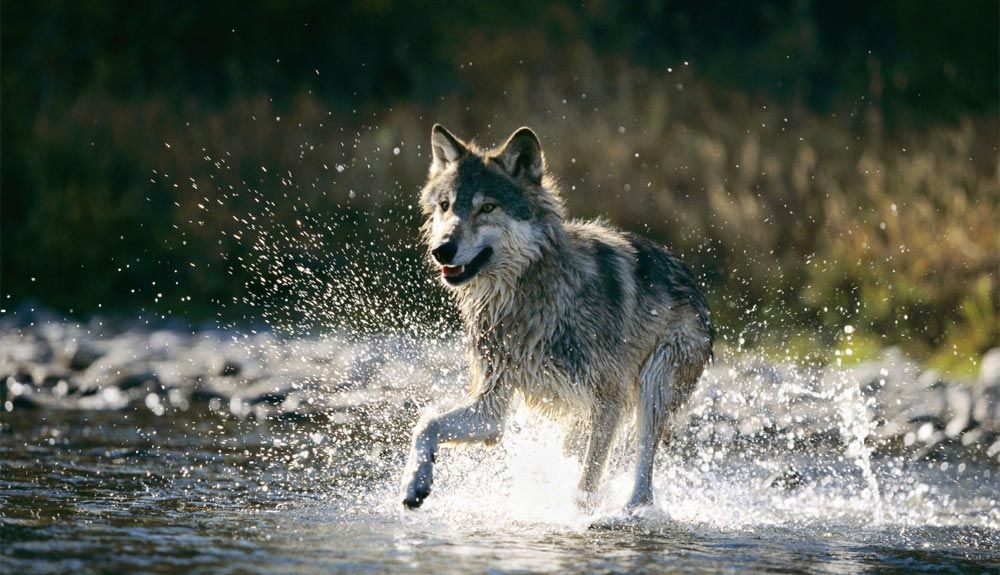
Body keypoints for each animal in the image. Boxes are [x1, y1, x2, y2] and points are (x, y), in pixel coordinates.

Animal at [400, 125, 713, 513]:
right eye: (445, 206)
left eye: (487, 207)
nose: (441, 249)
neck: (527, 301)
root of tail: (696, 286)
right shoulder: (490, 410)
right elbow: (425, 423)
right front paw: (414, 482)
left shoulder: (608, 400)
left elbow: (586, 485)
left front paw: (580, 518)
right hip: (580, 418)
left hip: (651, 386)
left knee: (643, 482)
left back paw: (630, 513)